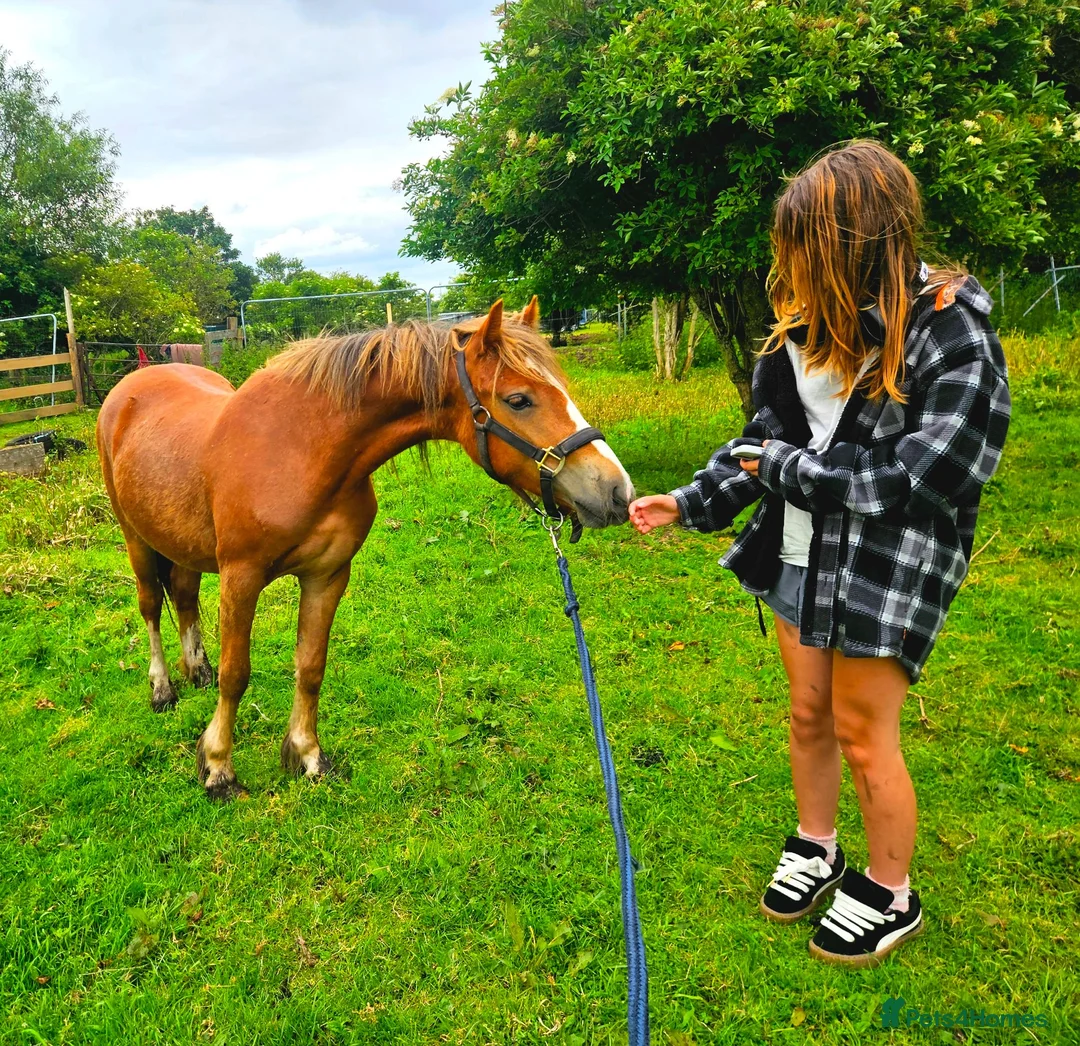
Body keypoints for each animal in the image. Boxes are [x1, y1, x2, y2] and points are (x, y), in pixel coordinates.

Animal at [96, 299, 635, 799]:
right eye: (519, 400)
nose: (617, 493)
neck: (303, 448)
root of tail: (129, 386)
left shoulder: (328, 575)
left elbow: (311, 666)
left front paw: (308, 756)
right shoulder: (241, 577)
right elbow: (237, 674)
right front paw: (218, 768)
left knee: (184, 595)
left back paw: (196, 670)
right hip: (134, 537)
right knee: (151, 605)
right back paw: (163, 688)